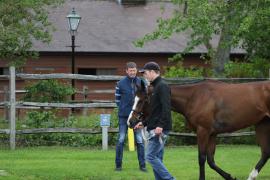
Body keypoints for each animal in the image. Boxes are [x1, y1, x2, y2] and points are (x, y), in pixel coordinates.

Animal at [127, 80, 270, 180]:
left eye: (142, 100)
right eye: (134, 99)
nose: (131, 121)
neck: (194, 97)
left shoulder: (203, 131)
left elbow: (201, 158)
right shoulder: (212, 134)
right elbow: (211, 161)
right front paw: (229, 176)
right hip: (262, 125)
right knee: (265, 153)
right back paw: (252, 176)